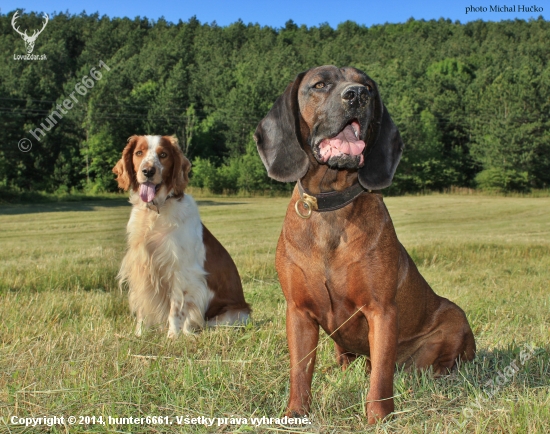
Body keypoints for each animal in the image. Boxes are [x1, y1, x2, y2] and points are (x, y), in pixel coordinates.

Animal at [113, 134, 251, 338]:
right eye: (139, 153)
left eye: (163, 154)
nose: (148, 171)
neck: (156, 211)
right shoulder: (142, 268)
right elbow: (142, 308)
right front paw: (139, 334)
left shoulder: (180, 272)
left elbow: (176, 309)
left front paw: (173, 336)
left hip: (233, 314)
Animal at [254, 67, 474, 424]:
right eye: (320, 84)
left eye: (368, 86)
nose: (357, 95)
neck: (331, 204)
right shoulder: (298, 311)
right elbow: (300, 370)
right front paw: (296, 412)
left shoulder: (381, 310)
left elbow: (382, 374)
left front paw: (379, 418)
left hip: (454, 319)